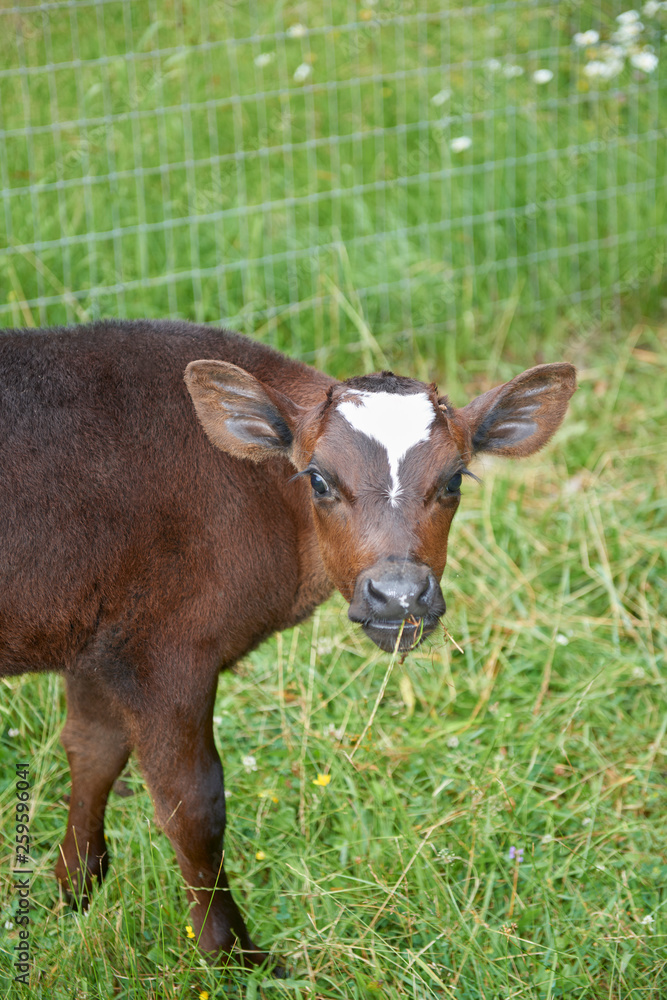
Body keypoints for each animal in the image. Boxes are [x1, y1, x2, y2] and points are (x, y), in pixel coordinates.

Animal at [0, 319, 576, 972]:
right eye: (318, 479)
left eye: (454, 479)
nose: (399, 595)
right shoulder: (167, 650)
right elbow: (192, 807)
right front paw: (232, 955)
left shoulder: (98, 637)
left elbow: (92, 750)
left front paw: (75, 890)